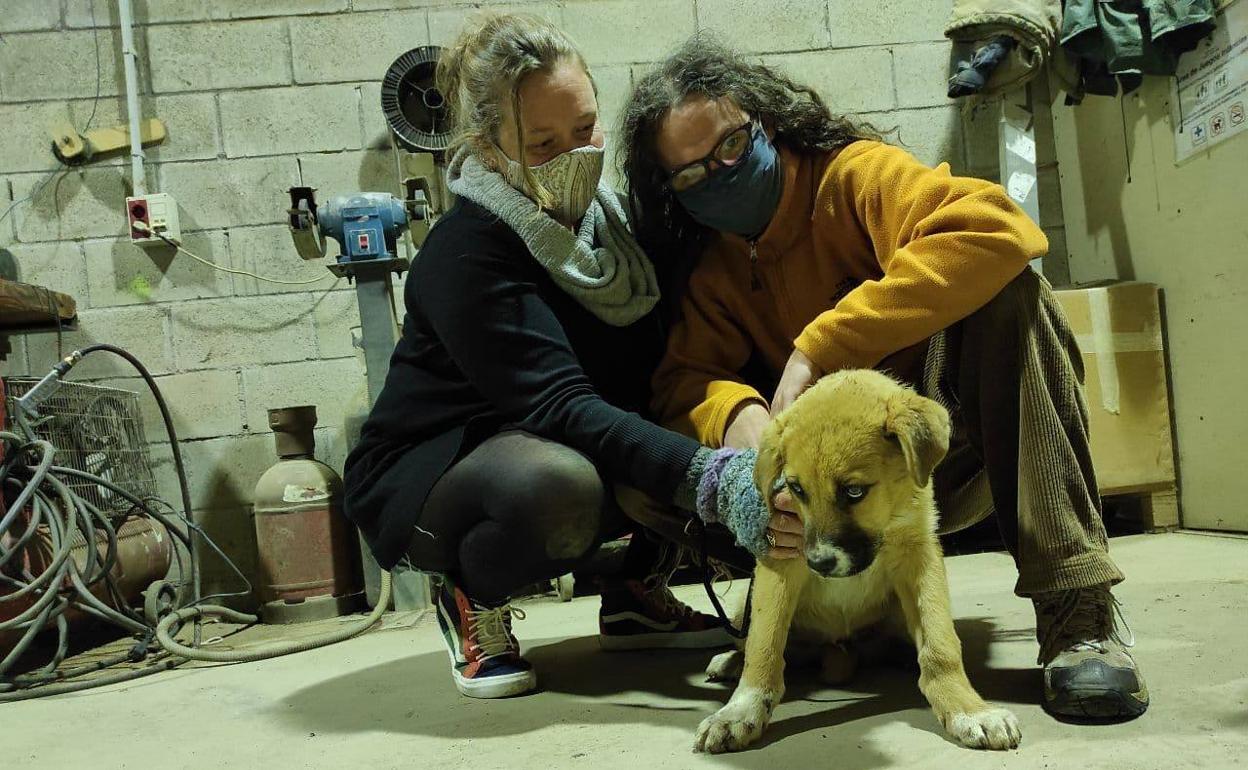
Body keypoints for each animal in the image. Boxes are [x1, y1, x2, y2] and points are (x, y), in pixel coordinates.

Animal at [693, 371, 1023, 748]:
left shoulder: (920, 555)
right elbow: (765, 644)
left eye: (854, 492)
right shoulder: (782, 561)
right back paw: (730, 661)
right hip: (741, 609)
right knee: (753, 642)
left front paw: (968, 709)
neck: (887, 520)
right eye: (797, 489)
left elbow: (940, 645)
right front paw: (739, 712)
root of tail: (840, 647)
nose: (820, 564)